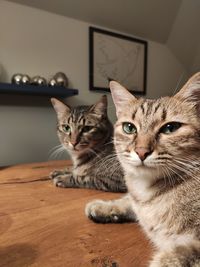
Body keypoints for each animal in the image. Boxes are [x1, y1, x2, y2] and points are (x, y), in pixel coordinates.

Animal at [86, 72, 200, 266]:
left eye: (170, 128)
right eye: (129, 128)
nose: (141, 151)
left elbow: (174, 257)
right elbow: (128, 201)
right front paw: (105, 207)